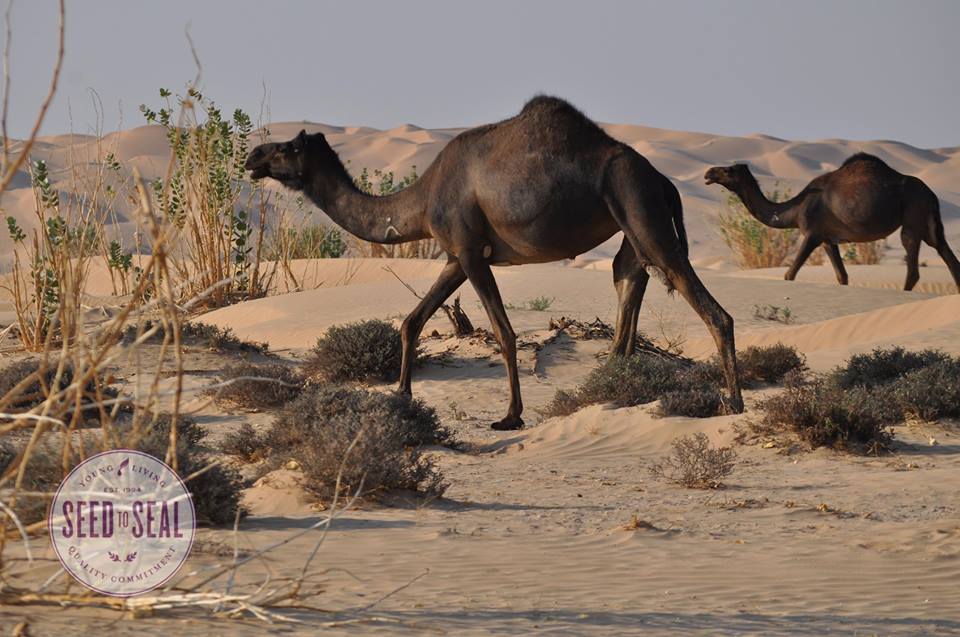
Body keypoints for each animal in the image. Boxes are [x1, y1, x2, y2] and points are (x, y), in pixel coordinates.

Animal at [246, 96, 743, 429]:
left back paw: (734, 403)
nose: (253, 155)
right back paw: (608, 391)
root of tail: (663, 179)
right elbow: (411, 320)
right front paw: (402, 395)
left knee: (707, 305)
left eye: (288, 148)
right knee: (628, 278)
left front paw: (510, 416)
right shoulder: (454, 256)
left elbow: (504, 333)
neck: (422, 200)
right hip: (631, 221)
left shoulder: (469, 252)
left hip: (640, 206)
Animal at [705, 154, 960, 292]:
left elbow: (789, 274)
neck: (795, 209)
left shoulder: (812, 234)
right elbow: (842, 277)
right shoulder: (828, 240)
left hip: (913, 216)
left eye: (727, 170)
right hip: (930, 222)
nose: (708, 173)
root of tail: (931, 194)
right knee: (945, 252)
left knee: (913, 263)